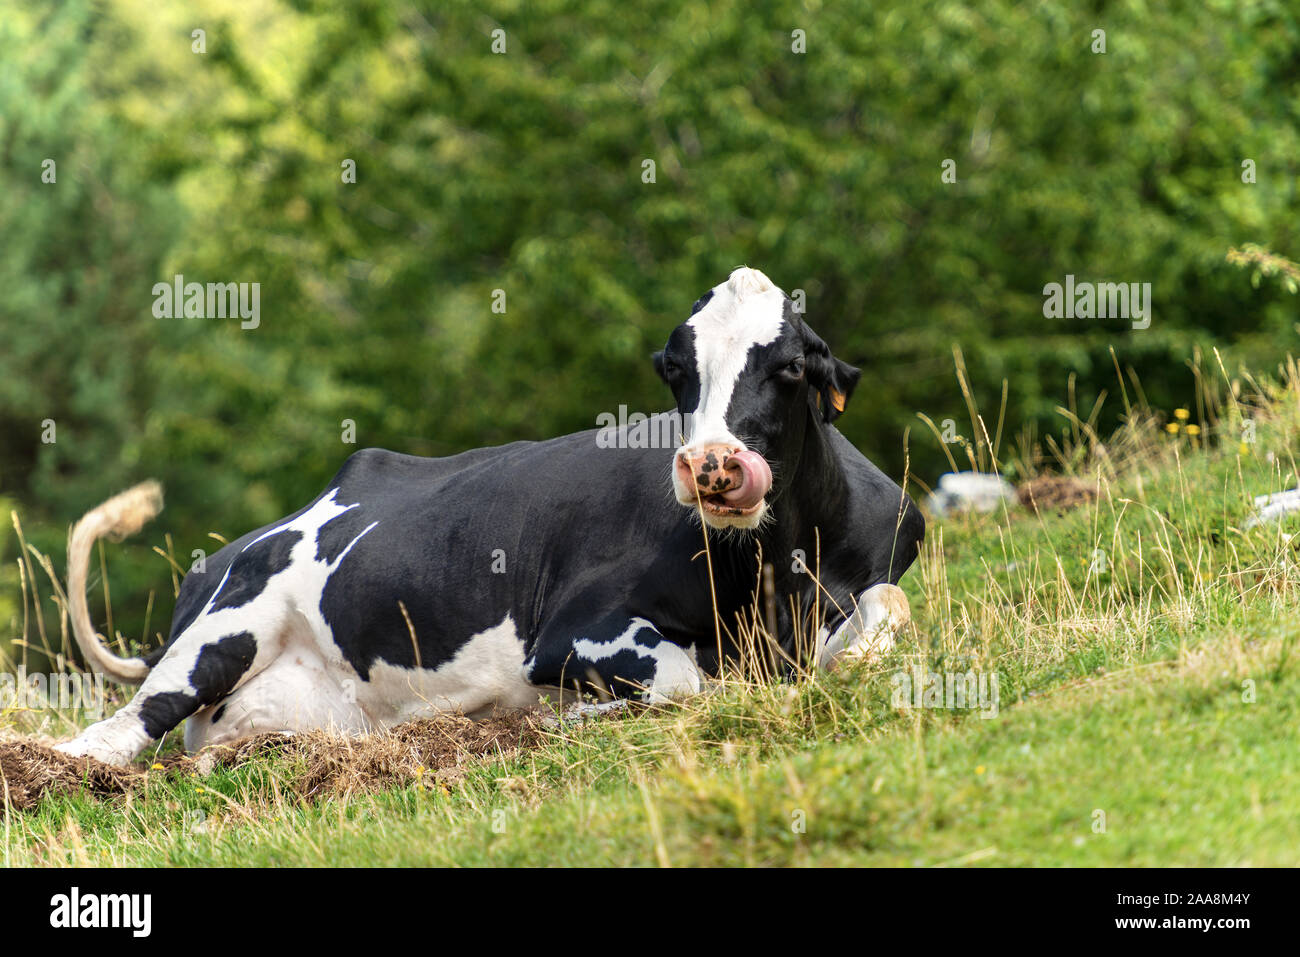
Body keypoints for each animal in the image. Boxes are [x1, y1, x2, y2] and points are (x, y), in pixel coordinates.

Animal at [55, 265, 920, 764]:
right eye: (676, 369)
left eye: (790, 366)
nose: (711, 462)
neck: (780, 566)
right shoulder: (571, 632)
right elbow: (690, 683)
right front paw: (573, 720)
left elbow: (887, 608)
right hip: (225, 630)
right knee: (115, 734)